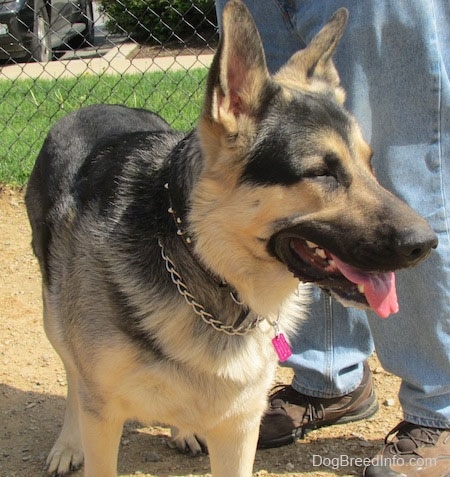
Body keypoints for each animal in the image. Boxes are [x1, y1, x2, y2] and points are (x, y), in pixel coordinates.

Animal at [24, 1, 436, 474]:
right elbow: (85, 395)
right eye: (321, 173)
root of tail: (90, 105)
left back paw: (183, 431)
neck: (203, 266)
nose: (427, 244)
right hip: (54, 317)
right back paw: (67, 444)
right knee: (73, 377)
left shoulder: (240, 425)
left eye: (369, 164)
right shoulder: (103, 416)